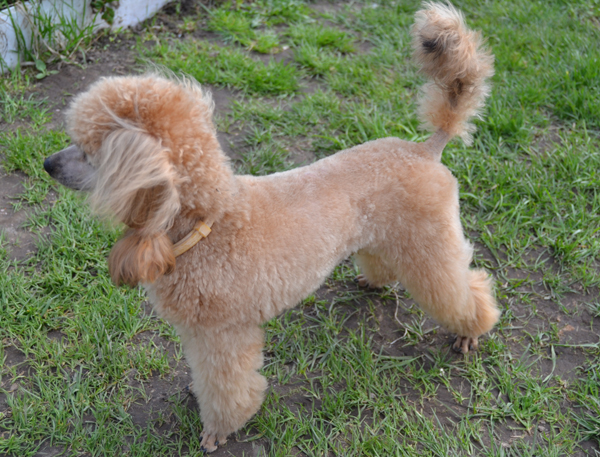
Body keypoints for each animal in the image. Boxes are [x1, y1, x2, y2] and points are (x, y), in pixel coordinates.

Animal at [43, 2, 498, 452]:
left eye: (89, 153)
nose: (47, 164)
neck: (208, 221)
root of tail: (427, 149)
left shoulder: (223, 334)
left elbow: (227, 388)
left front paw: (217, 430)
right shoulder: (200, 332)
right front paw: (195, 393)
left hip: (431, 240)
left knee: (461, 289)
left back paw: (471, 331)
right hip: (388, 232)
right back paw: (375, 280)